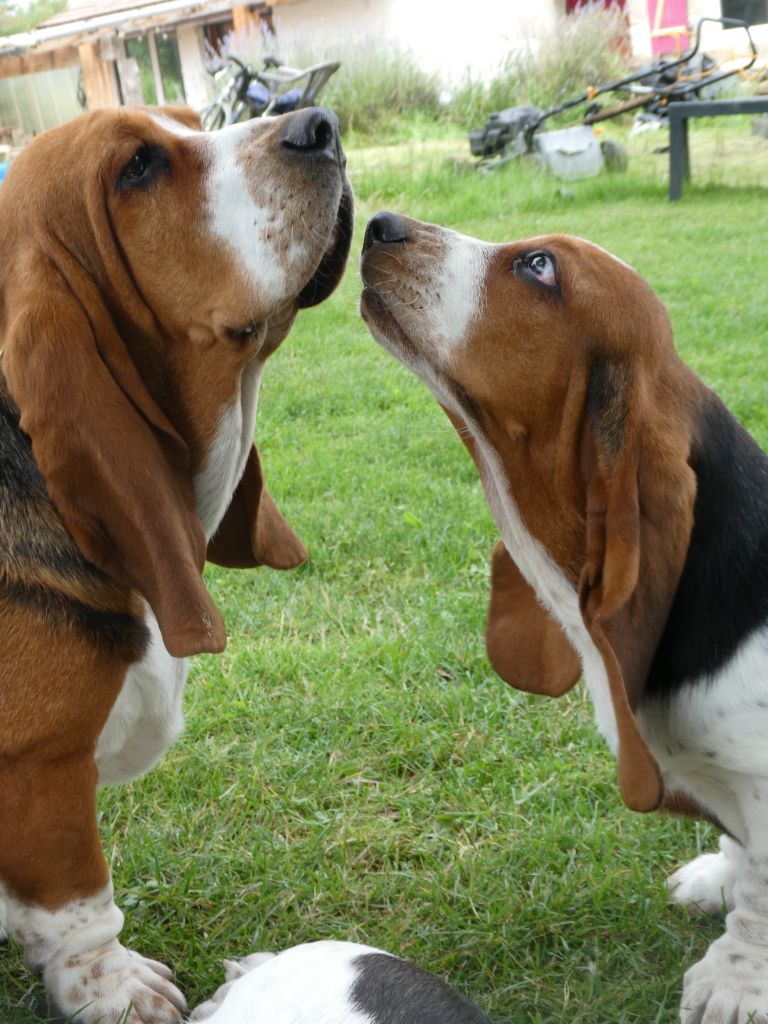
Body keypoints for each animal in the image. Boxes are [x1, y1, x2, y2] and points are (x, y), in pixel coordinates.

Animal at [0, 110, 354, 1024]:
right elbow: (78, 903)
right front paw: (115, 988)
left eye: (196, 124)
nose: (320, 123)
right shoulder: (40, 770)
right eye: (139, 167)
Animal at [364, 211, 768, 1019]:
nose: (379, 222)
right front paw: (718, 878)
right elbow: (744, 857)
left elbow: (762, 894)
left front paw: (735, 982)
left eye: (539, 267)